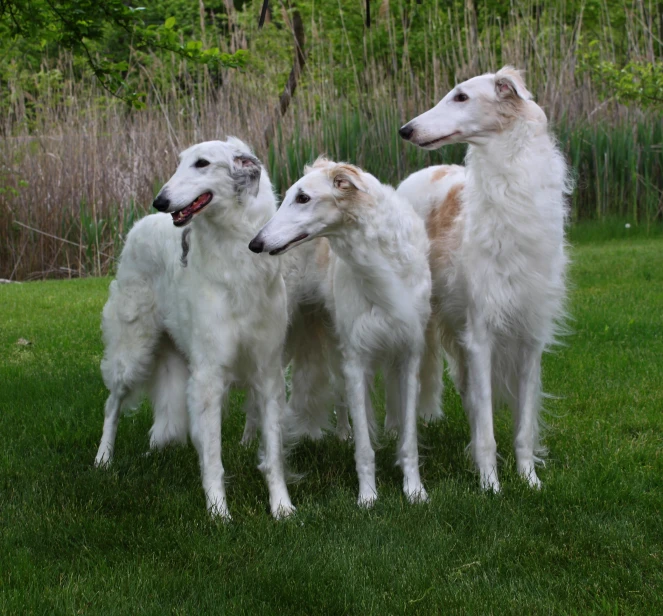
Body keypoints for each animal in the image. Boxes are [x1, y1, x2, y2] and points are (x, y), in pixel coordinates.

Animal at [93, 137, 294, 516]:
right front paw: (218, 512)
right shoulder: (209, 374)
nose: (160, 200)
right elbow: (214, 458)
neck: (236, 255)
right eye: (179, 163)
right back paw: (103, 459)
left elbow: (273, 453)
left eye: (202, 163)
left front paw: (282, 508)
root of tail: (140, 224)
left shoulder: (267, 370)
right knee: (112, 405)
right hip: (133, 351)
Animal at [248, 159, 430, 506]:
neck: (381, 262)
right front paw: (368, 497)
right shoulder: (357, 357)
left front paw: (415, 491)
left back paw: (342, 433)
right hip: (285, 340)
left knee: (339, 393)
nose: (255, 244)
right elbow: (365, 449)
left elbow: (409, 440)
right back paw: (252, 441)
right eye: (289, 195)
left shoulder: (409, 353)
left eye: (303, 198)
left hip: (333, 337)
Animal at [396, 67, 572, 490]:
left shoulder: (531, 335)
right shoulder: (480, 332)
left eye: (461, 96)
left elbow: (523, 427)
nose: (405, 130)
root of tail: (425, 171)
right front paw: (490, 486)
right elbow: (489, 431)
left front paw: (529, 480)